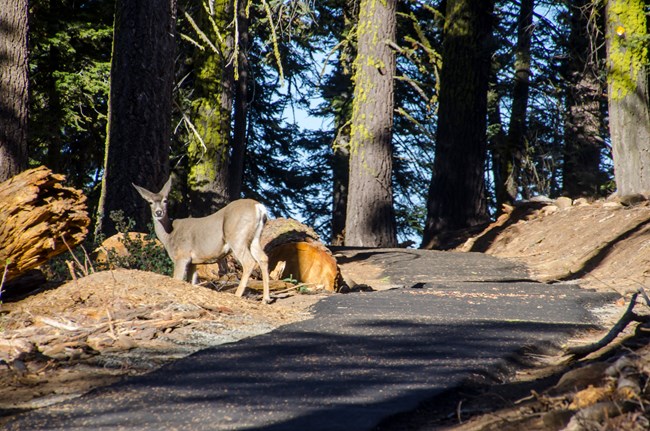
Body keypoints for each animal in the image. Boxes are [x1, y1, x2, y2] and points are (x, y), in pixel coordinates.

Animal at [133, 177, 270, 306]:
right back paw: (265, 299)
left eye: (165, 200)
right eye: (150, 202)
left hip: (237, 237)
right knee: (263, 258)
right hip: (255, 238)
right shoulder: (193, 262)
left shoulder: (182, 256)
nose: (158, 212)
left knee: (249, 262)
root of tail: (259, 207)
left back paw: (237, 295)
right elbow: (192, 281)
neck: (169, 235)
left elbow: (178, 279)